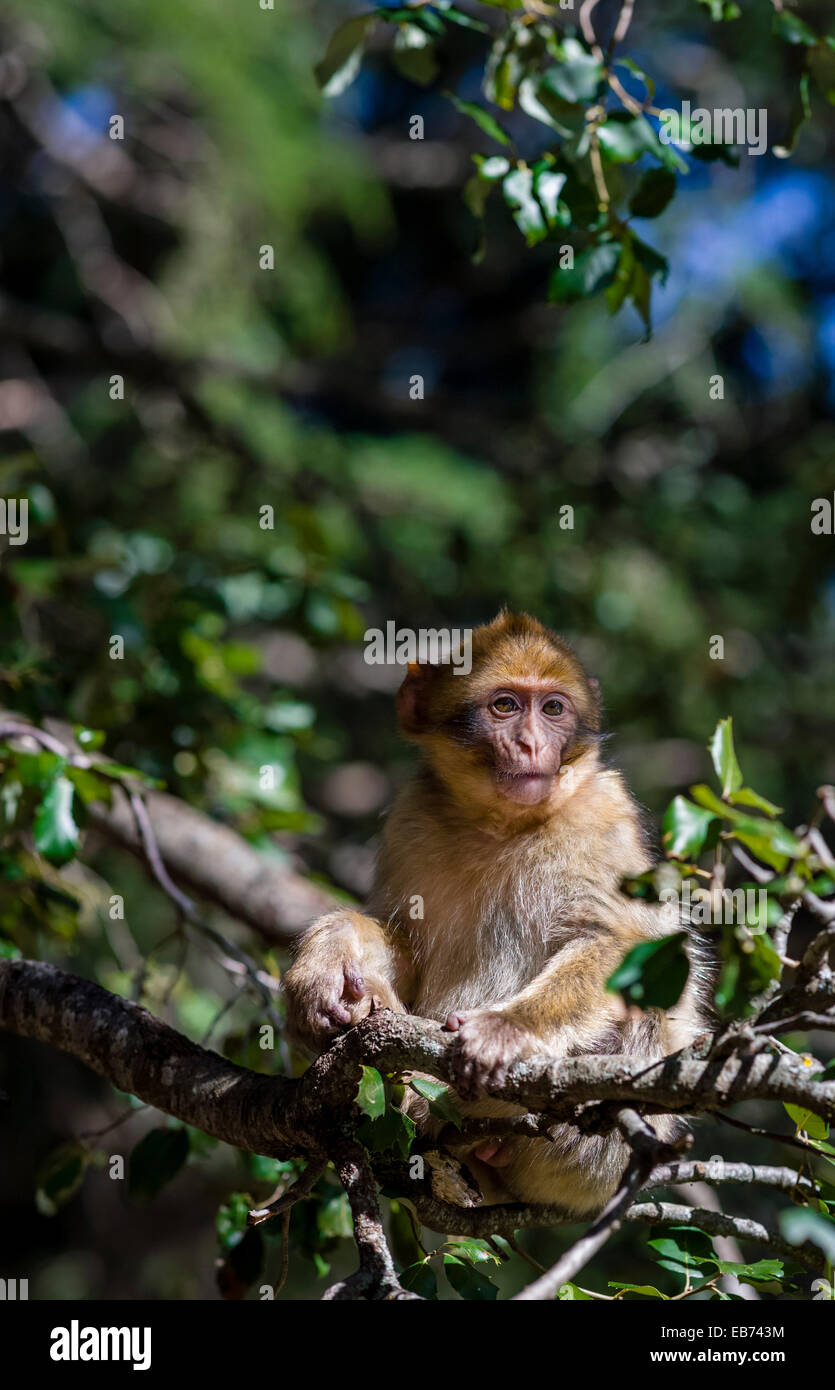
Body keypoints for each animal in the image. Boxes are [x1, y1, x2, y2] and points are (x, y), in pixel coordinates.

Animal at [283, 614, 705, 1212]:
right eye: (505, 706)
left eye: (553, 709)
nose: (532, 743)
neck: (502, 824)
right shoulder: (413, 815)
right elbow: (405, 944)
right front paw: (324, 965)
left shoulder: (606, 814)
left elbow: (623, 946)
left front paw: (507, 1029)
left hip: (596, 1162)